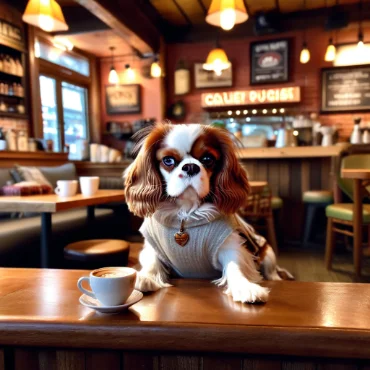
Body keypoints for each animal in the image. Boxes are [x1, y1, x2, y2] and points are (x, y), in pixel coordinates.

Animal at [124, 123, 292, 302]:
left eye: (207, 159)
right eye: (168, 160)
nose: (190, 166)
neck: (187, 213)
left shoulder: (231, 244)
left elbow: (236, 264)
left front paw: (244, 286)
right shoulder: (153, 245)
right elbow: (151, 262)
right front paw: (145, 277)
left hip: (268, 254)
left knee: (272, 272)